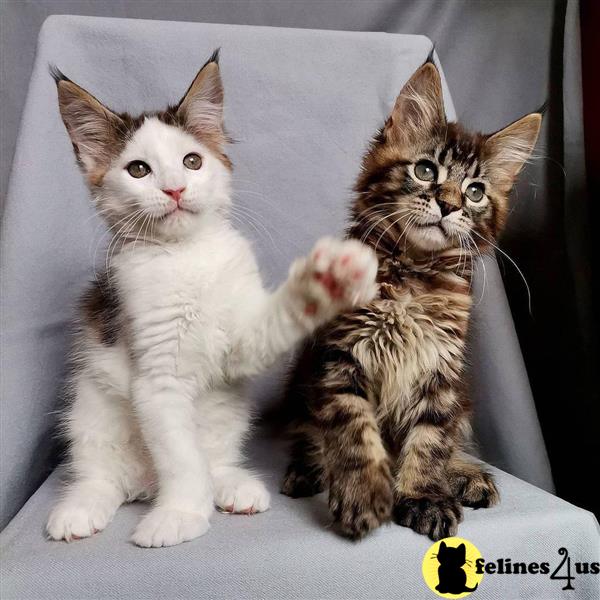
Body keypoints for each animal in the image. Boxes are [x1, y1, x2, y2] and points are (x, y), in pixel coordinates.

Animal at [45, 52, 380, 548]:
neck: (189, 257)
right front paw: (181, 514)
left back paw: (233, 486)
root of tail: (144, 484)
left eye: (192, 161)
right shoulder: (157, 379)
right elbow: (183, 460)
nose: (175, 189)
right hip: (89, 414)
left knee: (214, 459)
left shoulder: (241, 343)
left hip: (226, 413)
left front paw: (328, 278)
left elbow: (275, 322)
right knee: (100, 476)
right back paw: (79, 511)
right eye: (139, 170)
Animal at [284, 58, 540, 540]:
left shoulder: (441, 368)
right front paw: (364, 495)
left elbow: (430, 439)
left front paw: (423, 495)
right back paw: (308, 470)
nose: (448, 204)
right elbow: (353, 428)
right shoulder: (340, 355)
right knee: (308, 435)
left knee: (452, 440)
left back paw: (467, 476)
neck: (414, 275)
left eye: (475, 192)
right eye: (425, 171)